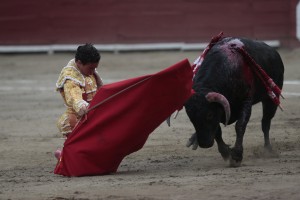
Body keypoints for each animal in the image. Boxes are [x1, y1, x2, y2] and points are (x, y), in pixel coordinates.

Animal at [184, 36, 284, 166]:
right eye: (190, 116)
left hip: (271, 99)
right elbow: (217, 131)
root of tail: (274, 53)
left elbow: (240, 125)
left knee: (265, 123)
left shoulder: (246, 100)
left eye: (209, 115)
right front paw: (226, 152)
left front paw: (236, 156)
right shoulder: (219, 111)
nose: (204, 144)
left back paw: (268, 149)